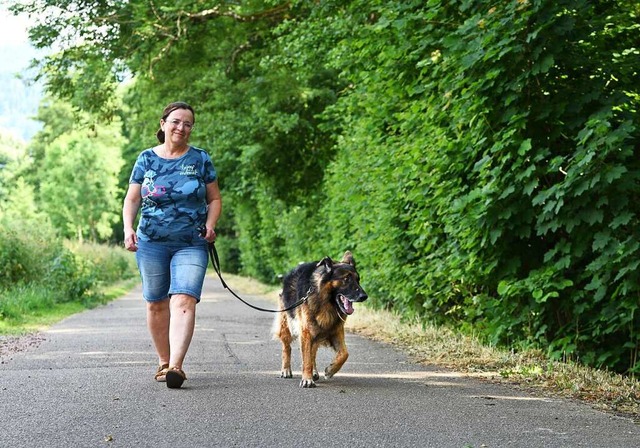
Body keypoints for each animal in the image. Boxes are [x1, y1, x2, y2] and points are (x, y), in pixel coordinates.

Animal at [272, 250, 368, 386]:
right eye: (346, 279)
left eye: (358, 279)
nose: (364, 296)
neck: (326, 303)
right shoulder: (306, 331)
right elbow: (306, 358)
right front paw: (307, 379)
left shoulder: (336, 331)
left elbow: (344, 353)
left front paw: (330, 370)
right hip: (287, 325)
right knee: (287, 347)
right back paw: (286, 369)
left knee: (313, 353)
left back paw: (314, 372)